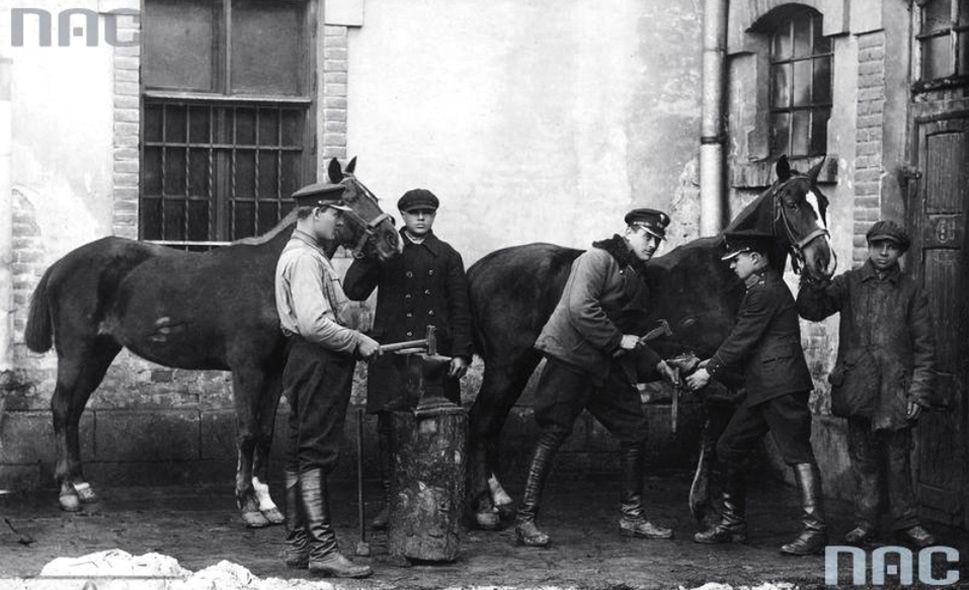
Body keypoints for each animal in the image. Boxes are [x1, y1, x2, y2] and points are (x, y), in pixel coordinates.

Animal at [466, 156, 836, 528]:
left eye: (823, 203)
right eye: (792, 204)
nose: (823, 262)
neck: (724, 278)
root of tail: (479, 270)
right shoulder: (717, 368)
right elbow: (715, 429)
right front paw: (703, 506)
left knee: (490, 422)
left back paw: (499, 499)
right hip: (507, 366)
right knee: (482, 420)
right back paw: (485, 505)